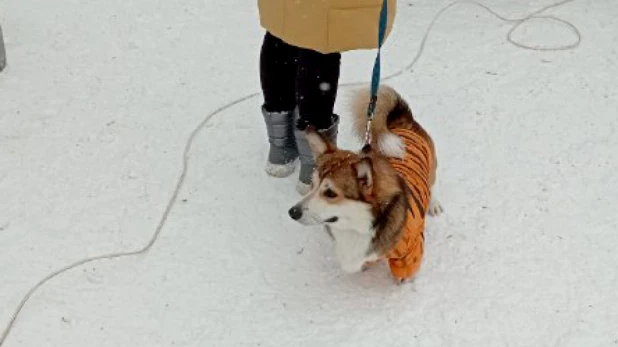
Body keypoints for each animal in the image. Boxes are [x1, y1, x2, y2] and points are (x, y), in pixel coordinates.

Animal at [286, 85, 440, 284]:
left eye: (330, 193)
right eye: (312, 185)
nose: (292, 212)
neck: (360, 225)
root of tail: (400, 119)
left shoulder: (410, 249)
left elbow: (405, 272)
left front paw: (405, 283)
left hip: (431, 164)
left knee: (432, 184)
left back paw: (434, 204)